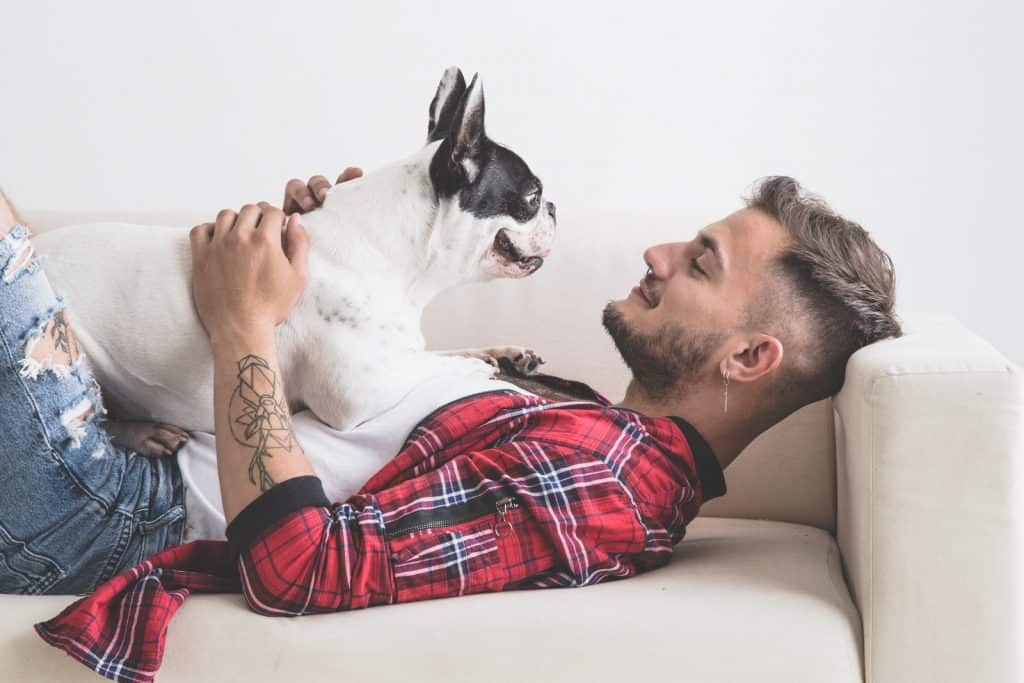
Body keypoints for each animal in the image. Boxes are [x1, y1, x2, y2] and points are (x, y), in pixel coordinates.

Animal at [36, 66, 557, 450]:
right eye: (532, 197)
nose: (553, 207)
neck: (395, 253)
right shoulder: (356, 392)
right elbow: (438, 367)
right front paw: (483, 369)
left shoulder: (397, 354)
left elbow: (444, 351)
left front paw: (500, 353)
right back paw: (144, 433)